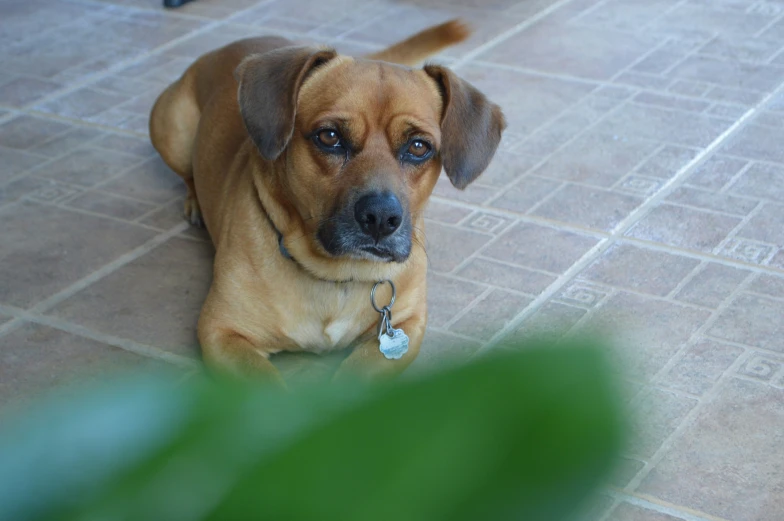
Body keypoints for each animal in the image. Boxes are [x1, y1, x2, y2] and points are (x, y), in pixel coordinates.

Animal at [149, 19, 506, 382]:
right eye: (330, 137)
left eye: (419, 147)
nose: (380, 218)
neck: (337, 277)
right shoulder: (222, 331)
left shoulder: (407, 325)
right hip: (170, 129)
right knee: (187, 173)